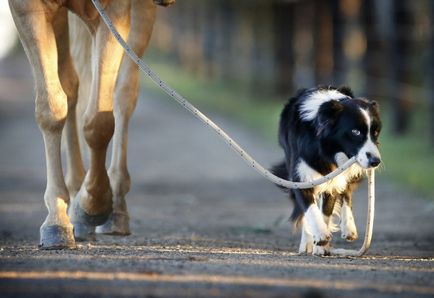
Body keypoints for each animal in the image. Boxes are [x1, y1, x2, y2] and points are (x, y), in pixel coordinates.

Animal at [8, 0, 175, 249]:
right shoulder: (27, 9)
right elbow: (52, 108)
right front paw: (57, 220)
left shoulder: (113, 13)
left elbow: (99, 122)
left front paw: (91, 207)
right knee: (69, 85)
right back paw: (74, 196)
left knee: (123, 92)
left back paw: (113, 208)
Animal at [272, 85, 382, 255]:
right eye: (355, 132)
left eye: (375, 132)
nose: (375, 161)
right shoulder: (300, 177)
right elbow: (310, 209)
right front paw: (320, 236)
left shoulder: (333, 179)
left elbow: (326, 211)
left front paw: (320, 246)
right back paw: (307, 242)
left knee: (346, 192)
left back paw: (349, 229)